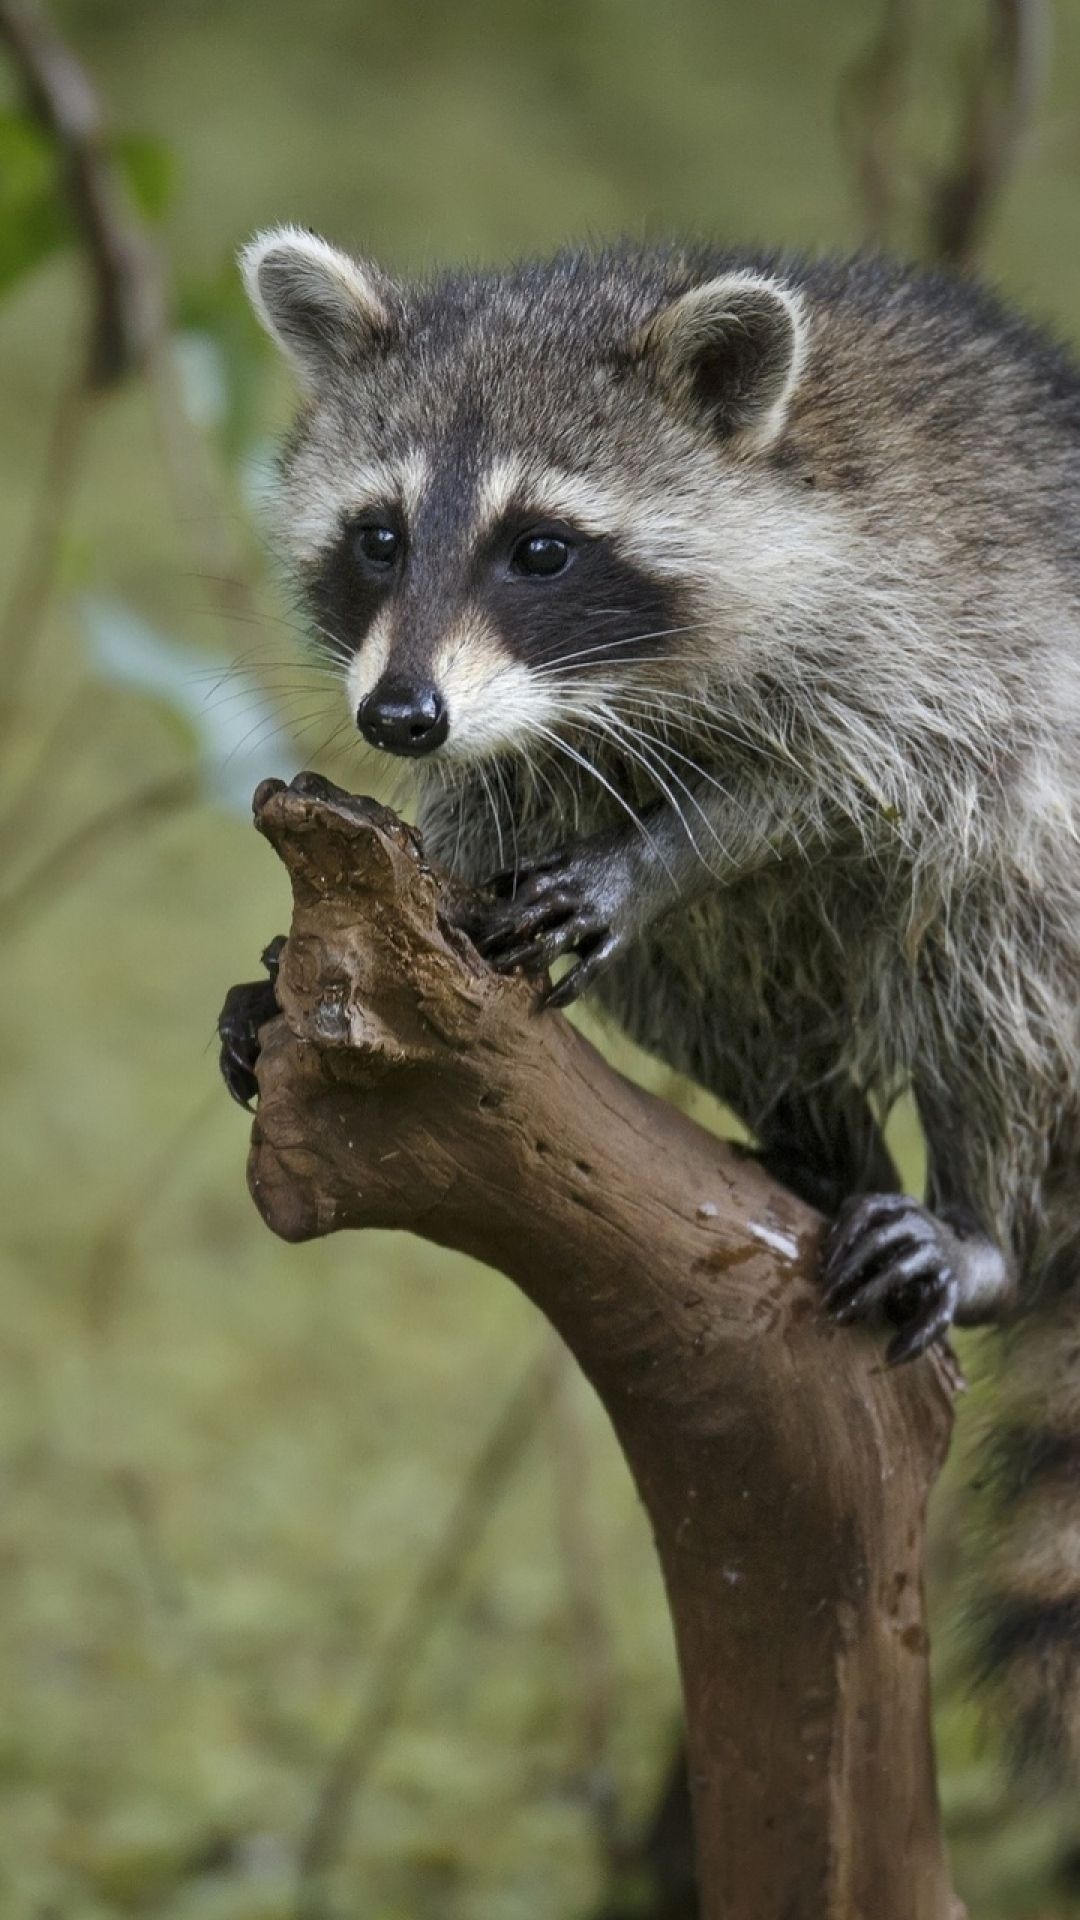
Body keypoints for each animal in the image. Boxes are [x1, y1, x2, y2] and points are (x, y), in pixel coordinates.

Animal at [239, 228, 1076, 1781]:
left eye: (541, 548)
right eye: (379, 536)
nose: (398, 717)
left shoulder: (924, 621)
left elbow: (852, 789)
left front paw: (656, 855)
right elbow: (492, 810)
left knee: (990, 934)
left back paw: (981, 1221)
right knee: (711, 986)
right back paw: (823, 1144)